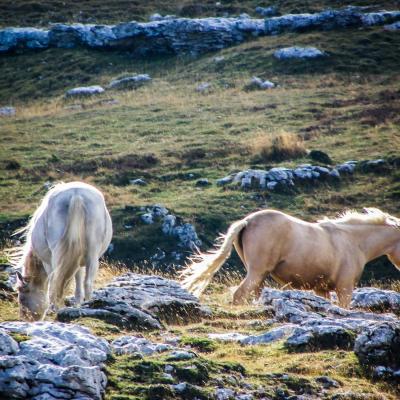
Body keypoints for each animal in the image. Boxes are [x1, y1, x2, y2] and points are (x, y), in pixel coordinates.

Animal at [14, 183, 111, 320]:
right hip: (93, 252)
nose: (27, 319)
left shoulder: (47, 262)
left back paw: (56, 308)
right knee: (88, 282)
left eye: (22, 299)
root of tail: (76, 194)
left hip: (55, 256)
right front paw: (78, 305)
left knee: (56, 281)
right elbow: (79, 282)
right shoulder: (78, 262)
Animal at [183, 208, 400, 308]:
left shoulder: (322, 289)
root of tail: (247, 221)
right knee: (239, 294)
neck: (353, 240)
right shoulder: (344, 288)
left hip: (259, 276)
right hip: (257, 272)